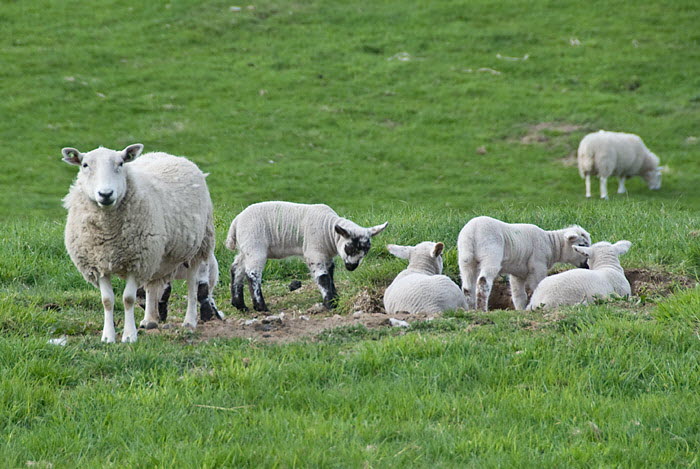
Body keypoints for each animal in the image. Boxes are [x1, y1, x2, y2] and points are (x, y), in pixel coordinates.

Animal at [62, 144, 215, 343]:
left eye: (120, 163)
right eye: (85, 165)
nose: (105, 194)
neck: (108, 233)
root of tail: (172, 155)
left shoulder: (136, 263)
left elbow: (128, 299)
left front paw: (129, 335)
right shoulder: (98, 263)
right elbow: (107, 300)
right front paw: (108, 336)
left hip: (197, 246)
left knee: (192, 285)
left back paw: (189, 321)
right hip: (155, 256)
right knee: (152, 285)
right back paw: (149, 320)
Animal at [225, 201, 388, 311]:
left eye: (366, 250)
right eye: (349, 248)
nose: (351, 267)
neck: (328, 231)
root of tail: (236, 222)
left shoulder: (327, 256)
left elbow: (330, 275)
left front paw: (335, 299)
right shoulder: (314, 252)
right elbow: (323, 278)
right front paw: (329, 303)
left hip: (245, 248)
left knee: (236, 269)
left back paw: (239, 305)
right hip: (255, 245)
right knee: (252, 274)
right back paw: (260, 306)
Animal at [458, 216, 591, 311]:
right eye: (582, 245)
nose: (587, 266)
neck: (551, 244)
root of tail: (472, 232)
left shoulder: (517, 274)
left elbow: (519, 295)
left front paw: (520, 310)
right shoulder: (538, 266)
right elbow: (537, 286)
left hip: (466, 259)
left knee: (467, 287)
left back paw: (471, 309)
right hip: (490, 254)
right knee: (483, 281)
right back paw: (482, 309)